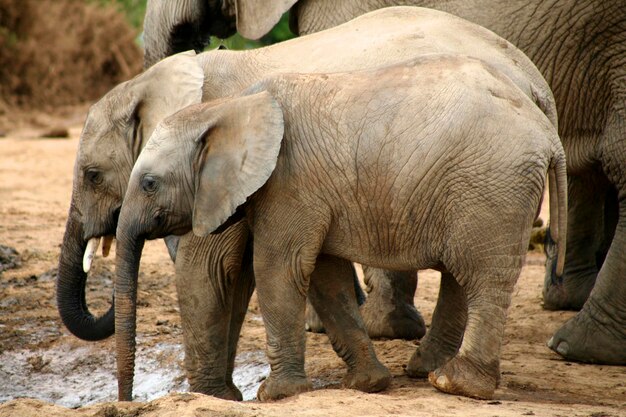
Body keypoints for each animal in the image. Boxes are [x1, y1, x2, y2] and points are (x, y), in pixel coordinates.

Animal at [57, 6, 556, 400]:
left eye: (93, 175)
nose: (126, 401)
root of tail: (538, 92)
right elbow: (249, 273)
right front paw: (228, 394)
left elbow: (212, 268)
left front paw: (214, 396)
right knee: (460, 274)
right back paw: (424, 369)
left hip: (488, 181)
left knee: (481, 273)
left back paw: (452, 382)